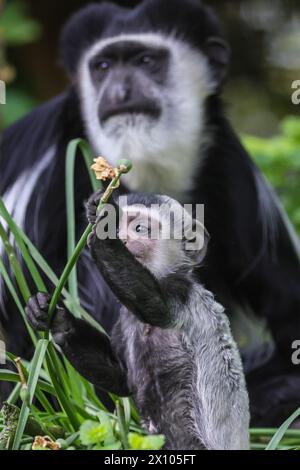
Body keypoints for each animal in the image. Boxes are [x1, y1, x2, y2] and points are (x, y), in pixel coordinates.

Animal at [25, 191, 250, 452]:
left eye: (140, 228)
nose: (122, 238)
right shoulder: (124, 322)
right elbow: (120, 377)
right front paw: (56, 319)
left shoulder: (180, 294)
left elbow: (152, 303)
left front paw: (105, 219)